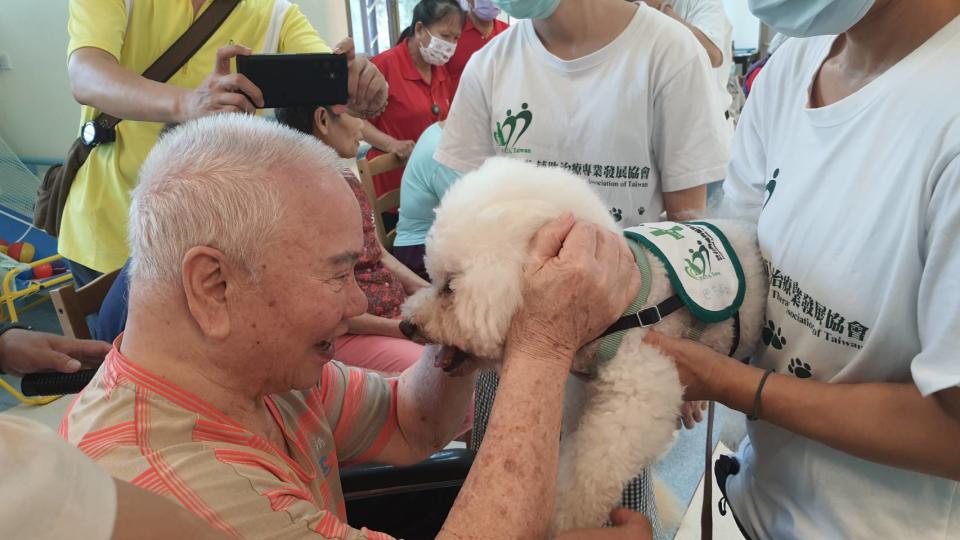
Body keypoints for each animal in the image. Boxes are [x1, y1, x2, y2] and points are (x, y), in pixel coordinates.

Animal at [400, 158, 764, 532]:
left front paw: (562, 522)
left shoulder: (638, 390)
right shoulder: (581, 390)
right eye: (432, 278)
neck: (619, 310)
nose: (406, 325)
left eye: (450, 287)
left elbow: (589, 471)